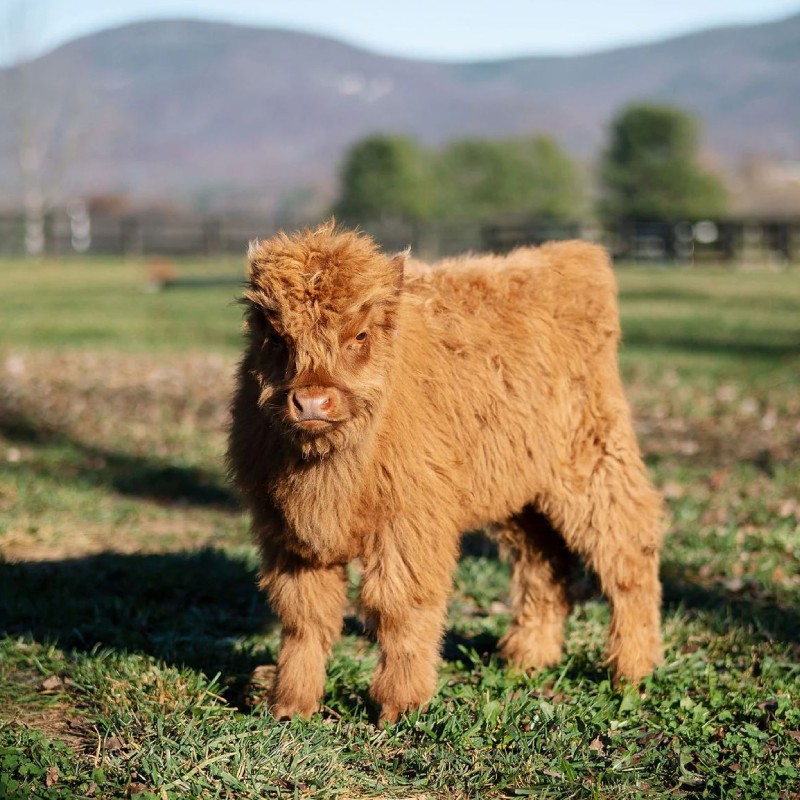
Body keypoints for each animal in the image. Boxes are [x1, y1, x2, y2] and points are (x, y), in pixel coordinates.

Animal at [228, 223, 664, 724]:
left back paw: (632, 669)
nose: (312, 402)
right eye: (277, 338)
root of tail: (566, 258)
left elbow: (400, 609)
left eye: (360, 335)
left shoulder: (409, 525)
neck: (329, 472)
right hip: (520, 490)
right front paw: (290, 705)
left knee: (628, 552)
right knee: (543, 564)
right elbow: (304, 617)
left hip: (592, 466)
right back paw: (527, 659)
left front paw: (401, 705)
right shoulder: (291, 535)